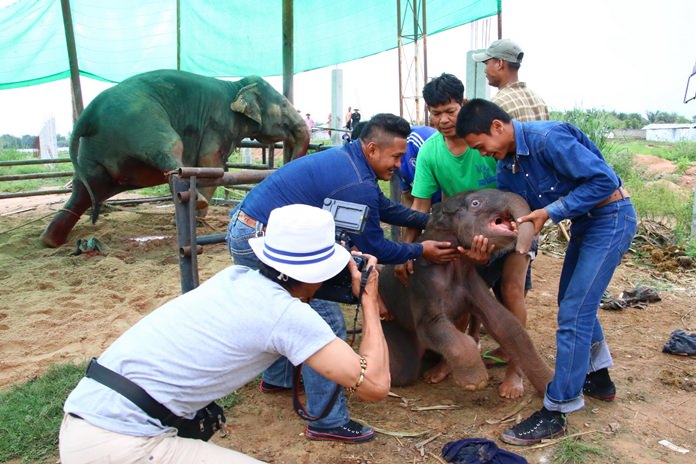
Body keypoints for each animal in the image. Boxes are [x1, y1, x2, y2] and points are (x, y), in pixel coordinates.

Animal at [39, 69, 308, 248]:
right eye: (284, 105)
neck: (234, 86)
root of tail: (88, 115)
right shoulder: (217, 124)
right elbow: (211, 166)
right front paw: (197, 222)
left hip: (95, 151)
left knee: (85, 190)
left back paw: (50, 241)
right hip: (142, 121)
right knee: (170, 148)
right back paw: (197, 200)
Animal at [378, 190, 552, 396]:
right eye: (476, 203)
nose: (525, 248)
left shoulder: (471, 281)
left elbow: (505, 322)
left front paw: (550, 385)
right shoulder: (422, 283)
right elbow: (431, 325)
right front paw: (475, 382)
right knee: (403, 369)